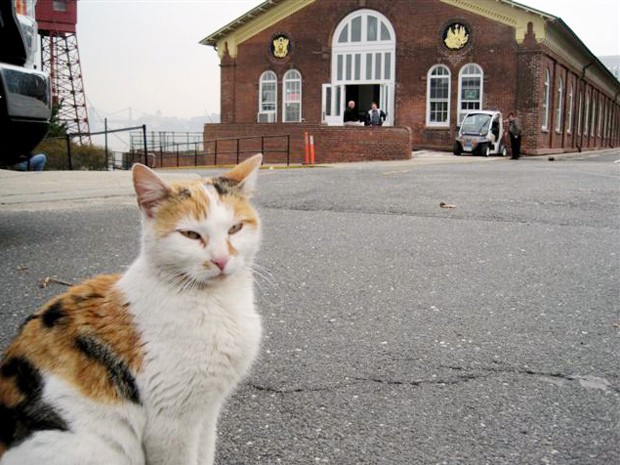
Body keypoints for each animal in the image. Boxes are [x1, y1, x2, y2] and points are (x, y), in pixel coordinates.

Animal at [0, 154, 264, 462]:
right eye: (190, 234)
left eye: (235, 228)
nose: (221, 260)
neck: (219, 302)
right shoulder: (172, 423)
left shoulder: (207, 411)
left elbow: (205, 453)